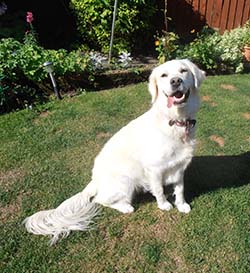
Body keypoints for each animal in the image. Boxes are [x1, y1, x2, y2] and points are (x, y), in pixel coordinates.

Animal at [24, 59, 206, 242]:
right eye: (164, 75)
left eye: (183, 71)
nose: (175, 81)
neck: (175, 121)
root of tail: (94, 180)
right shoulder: (154, 169)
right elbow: (159, 190)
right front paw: (164, 205)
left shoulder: (179, 166)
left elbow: (180, 189)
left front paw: (182, 205)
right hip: (125, 181)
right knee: (100, 200)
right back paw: (125, 207)